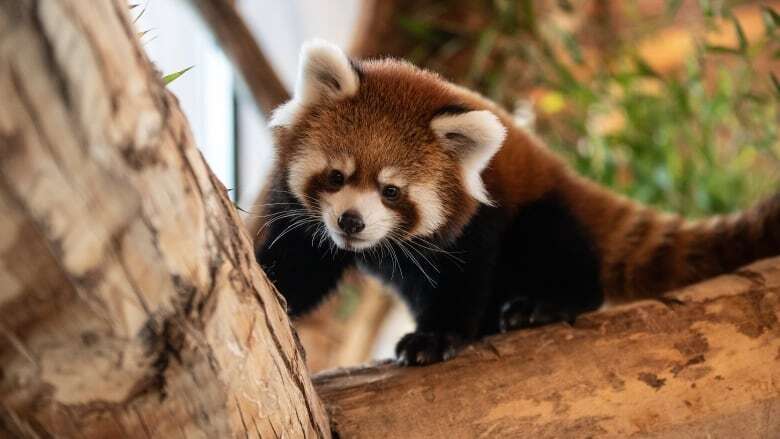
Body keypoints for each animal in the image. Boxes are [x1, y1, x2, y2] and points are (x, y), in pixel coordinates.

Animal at [256, 38, 780, 368]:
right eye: (337, 176)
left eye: (392, 191)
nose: (351, 221)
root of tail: (567, 173)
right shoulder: (305, 222)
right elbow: (299, 267)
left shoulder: (480, 224)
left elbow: (461, 281)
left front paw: (434, 338)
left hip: (544, 211)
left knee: (557, 244)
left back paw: (544, 305)